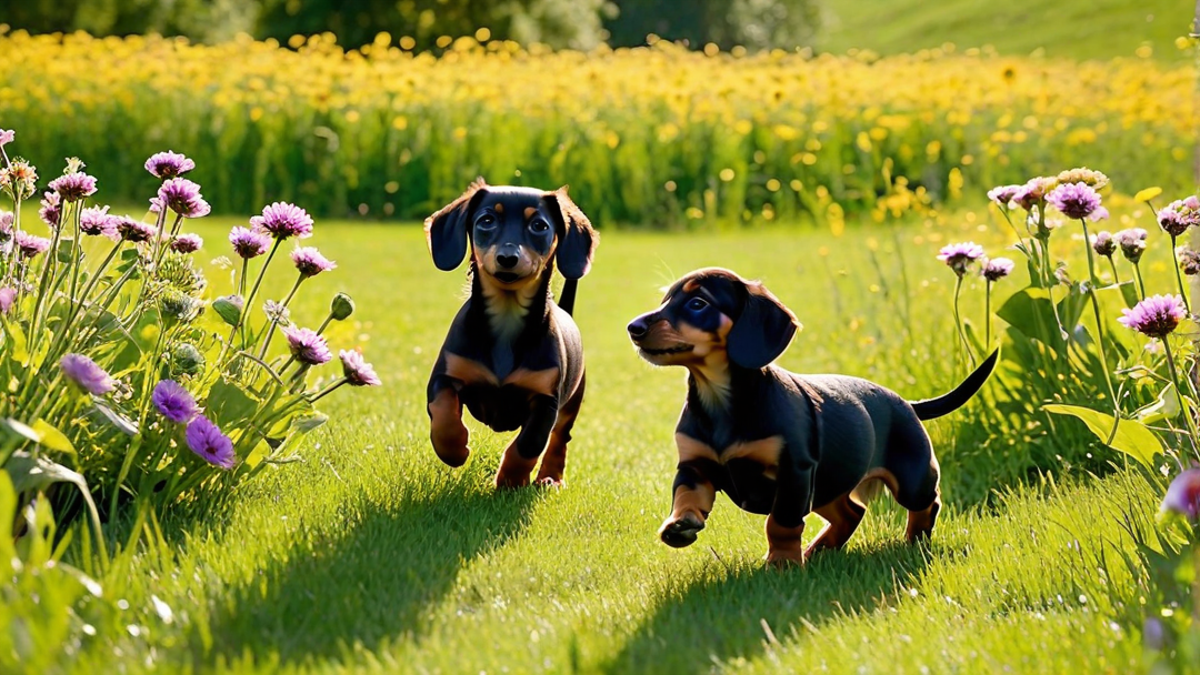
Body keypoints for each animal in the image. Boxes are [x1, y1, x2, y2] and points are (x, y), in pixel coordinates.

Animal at [427, 176, 604, 485]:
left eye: (539, 226)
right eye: (486, 220)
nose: (507, 257)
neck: (507, 317)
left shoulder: (546, 402)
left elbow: (529, 444)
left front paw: (510, 483)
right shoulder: (444, 377)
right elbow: (443, 411)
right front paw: (455, 449)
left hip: (572, 402)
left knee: (561, 437)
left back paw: (550, 478)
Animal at [624, 266, 998, 562]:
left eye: (697, 303)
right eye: (665, 301)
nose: (633, 327)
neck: (719, 399)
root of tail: (907, 402)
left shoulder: (794, 473)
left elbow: (781, 523)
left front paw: (782, 563)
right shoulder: (694, 465)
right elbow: (686, 496)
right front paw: (679, 525)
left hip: (909, 478)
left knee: (927, 504)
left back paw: (914, 542)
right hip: (828, 484)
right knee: (852, 512)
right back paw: (821, 549)